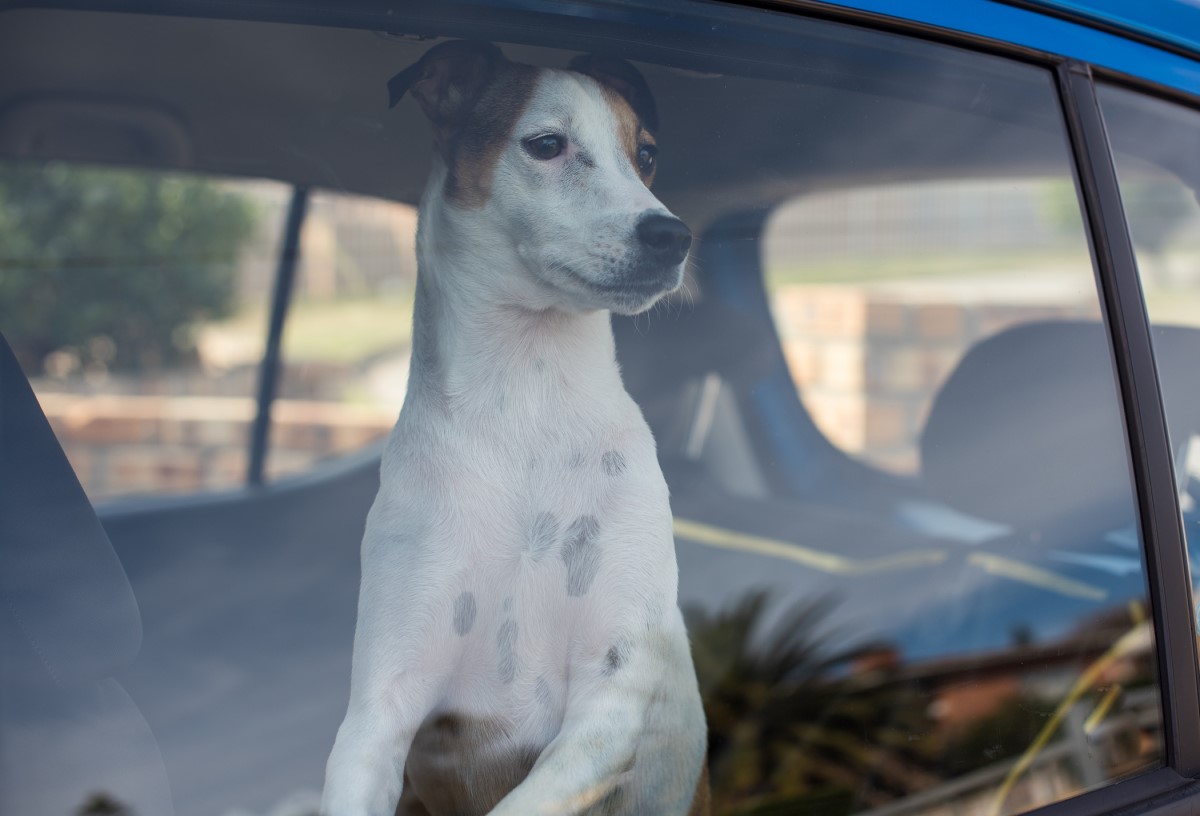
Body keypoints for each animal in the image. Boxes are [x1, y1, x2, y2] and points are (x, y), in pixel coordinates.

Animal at [324, 39, 705, 816]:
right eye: (547, 144)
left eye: (646, 154)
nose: (672, 235)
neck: (527, 407)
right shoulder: (381, 711)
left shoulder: (612, 692)